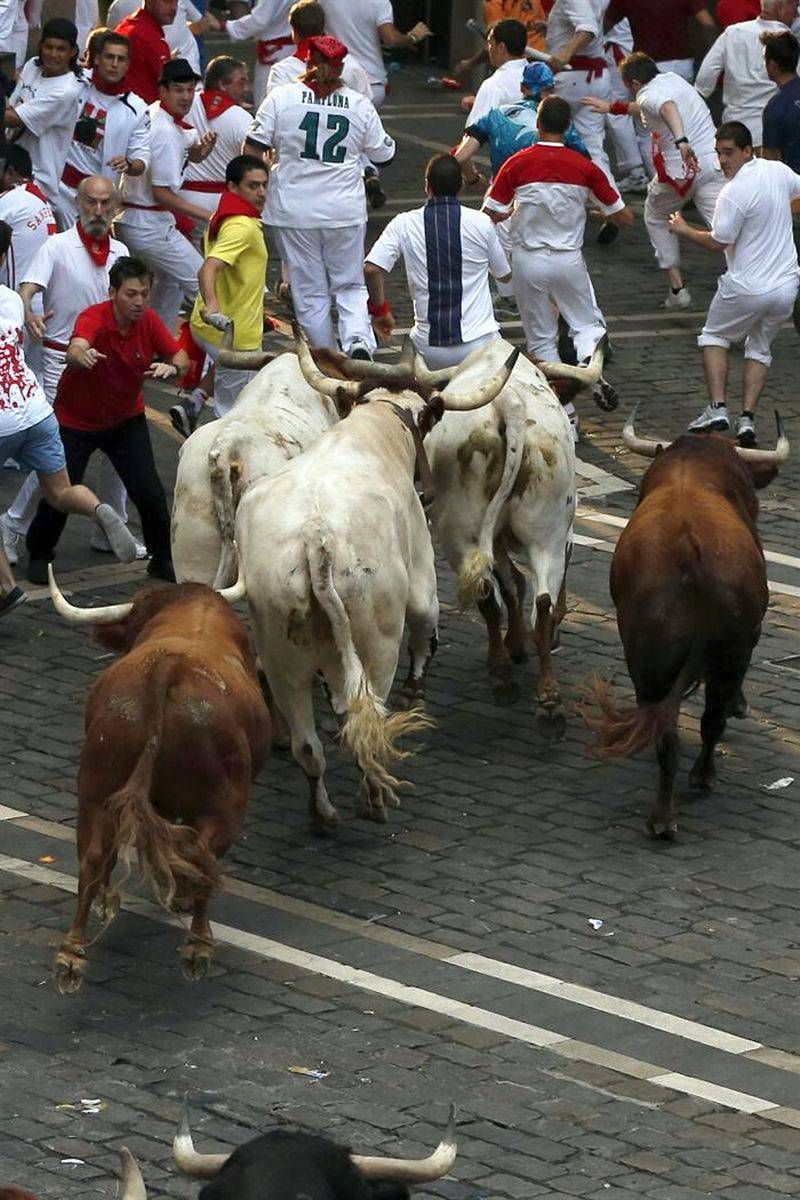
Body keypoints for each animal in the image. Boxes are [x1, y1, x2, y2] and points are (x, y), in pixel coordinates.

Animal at [48, 573, 271, 993]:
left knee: (94, 856)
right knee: (201, 855)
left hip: (95, 789)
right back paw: (197, 946)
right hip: (226, 804)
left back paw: (72, 954)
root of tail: (170, 669)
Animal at [231, 333, 520, 830]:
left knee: (309, 745)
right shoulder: (421, 573)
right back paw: (374, 797)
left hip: (284, 656)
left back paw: (323, 812)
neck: (372, 432)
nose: (426, 490)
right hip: (377, 645)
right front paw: (416, 687)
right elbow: (425, 624)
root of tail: (315, 539)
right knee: (368, 721)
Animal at [582, 410, 786, 835]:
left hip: (646, 657)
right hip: (732, 651)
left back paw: (662, 816)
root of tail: (687, 553)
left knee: (667, 729)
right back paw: (699, 780)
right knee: (710, 719)